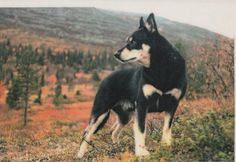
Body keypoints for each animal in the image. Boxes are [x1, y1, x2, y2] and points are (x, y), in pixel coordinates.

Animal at [77, 13, 186, 158]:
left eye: (133, 42)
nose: (116, 54)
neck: (160, 68)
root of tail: (106, 78)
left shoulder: (173, 104)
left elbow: (167, 128)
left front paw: (166, 145)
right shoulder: (142, 105)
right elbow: (141, 130)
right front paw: (141, 152)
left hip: (125, 116)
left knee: (114, 132)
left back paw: (117, 147)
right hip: (100, 112)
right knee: (87, 133)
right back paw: (80, 155)